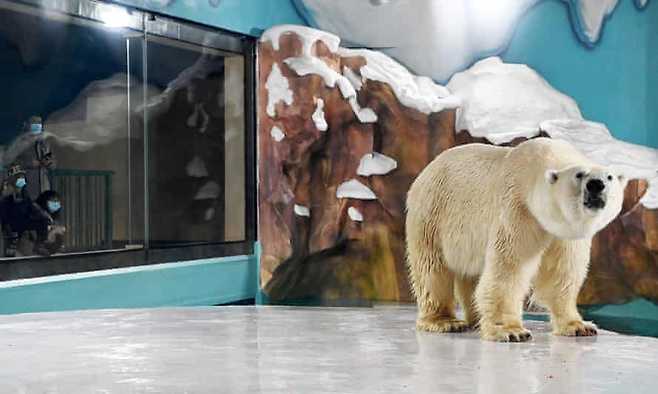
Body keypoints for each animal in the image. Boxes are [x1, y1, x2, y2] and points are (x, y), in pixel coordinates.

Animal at [404, 137, 624, 340]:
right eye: (579, 175)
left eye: (610, 177)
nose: (596, 185)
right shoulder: (518, 210)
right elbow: (509, 268)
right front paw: (511, 331)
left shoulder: (564, 232)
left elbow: (561, 273)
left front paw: (579, 326)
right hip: (432, 214)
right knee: (432, 270)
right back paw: (444, 321)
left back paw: (476, 320)